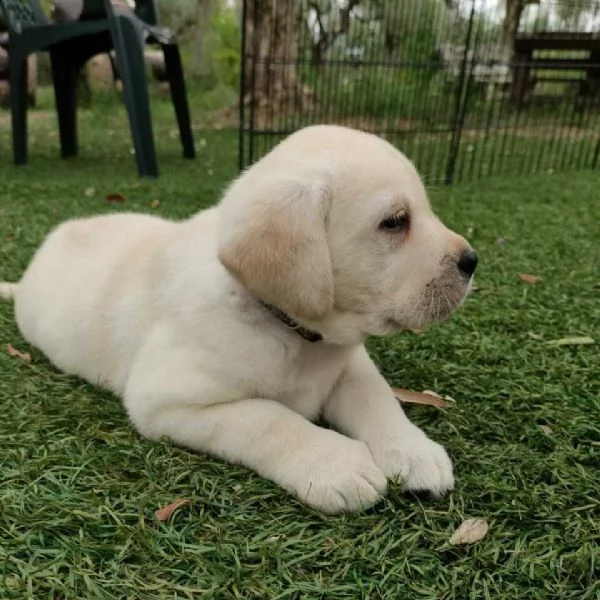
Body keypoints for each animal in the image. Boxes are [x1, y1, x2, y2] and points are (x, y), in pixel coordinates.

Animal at [1, 124, 478, 512]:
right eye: (395, 222)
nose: (472, 261)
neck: (291, 330)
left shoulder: (350, 363)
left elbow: (376, 399)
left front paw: (413, 453)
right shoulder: (165, 399)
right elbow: (270, 418)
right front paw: (336, 463)